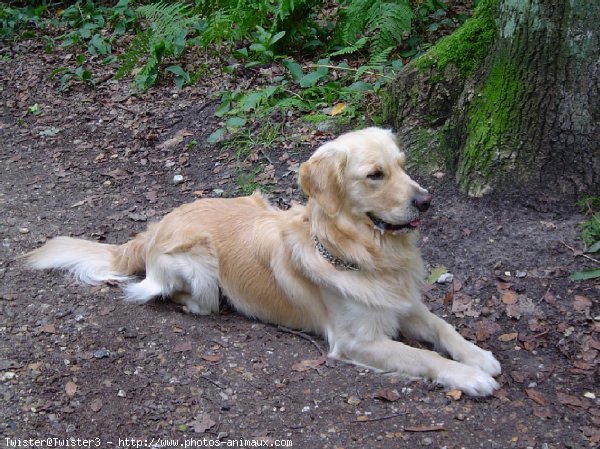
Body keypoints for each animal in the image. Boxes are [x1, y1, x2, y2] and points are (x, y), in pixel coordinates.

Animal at [25, 127, 500, 396]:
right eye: (374, 175)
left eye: (403, 167)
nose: (426, 201)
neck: (364, 252)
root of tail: (155, 228)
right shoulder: (357, 340)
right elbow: (421, 356)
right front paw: (469, 378)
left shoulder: (403, 303)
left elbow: (443, 328)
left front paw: (477, 356)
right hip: (200, 267)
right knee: (170, 296)